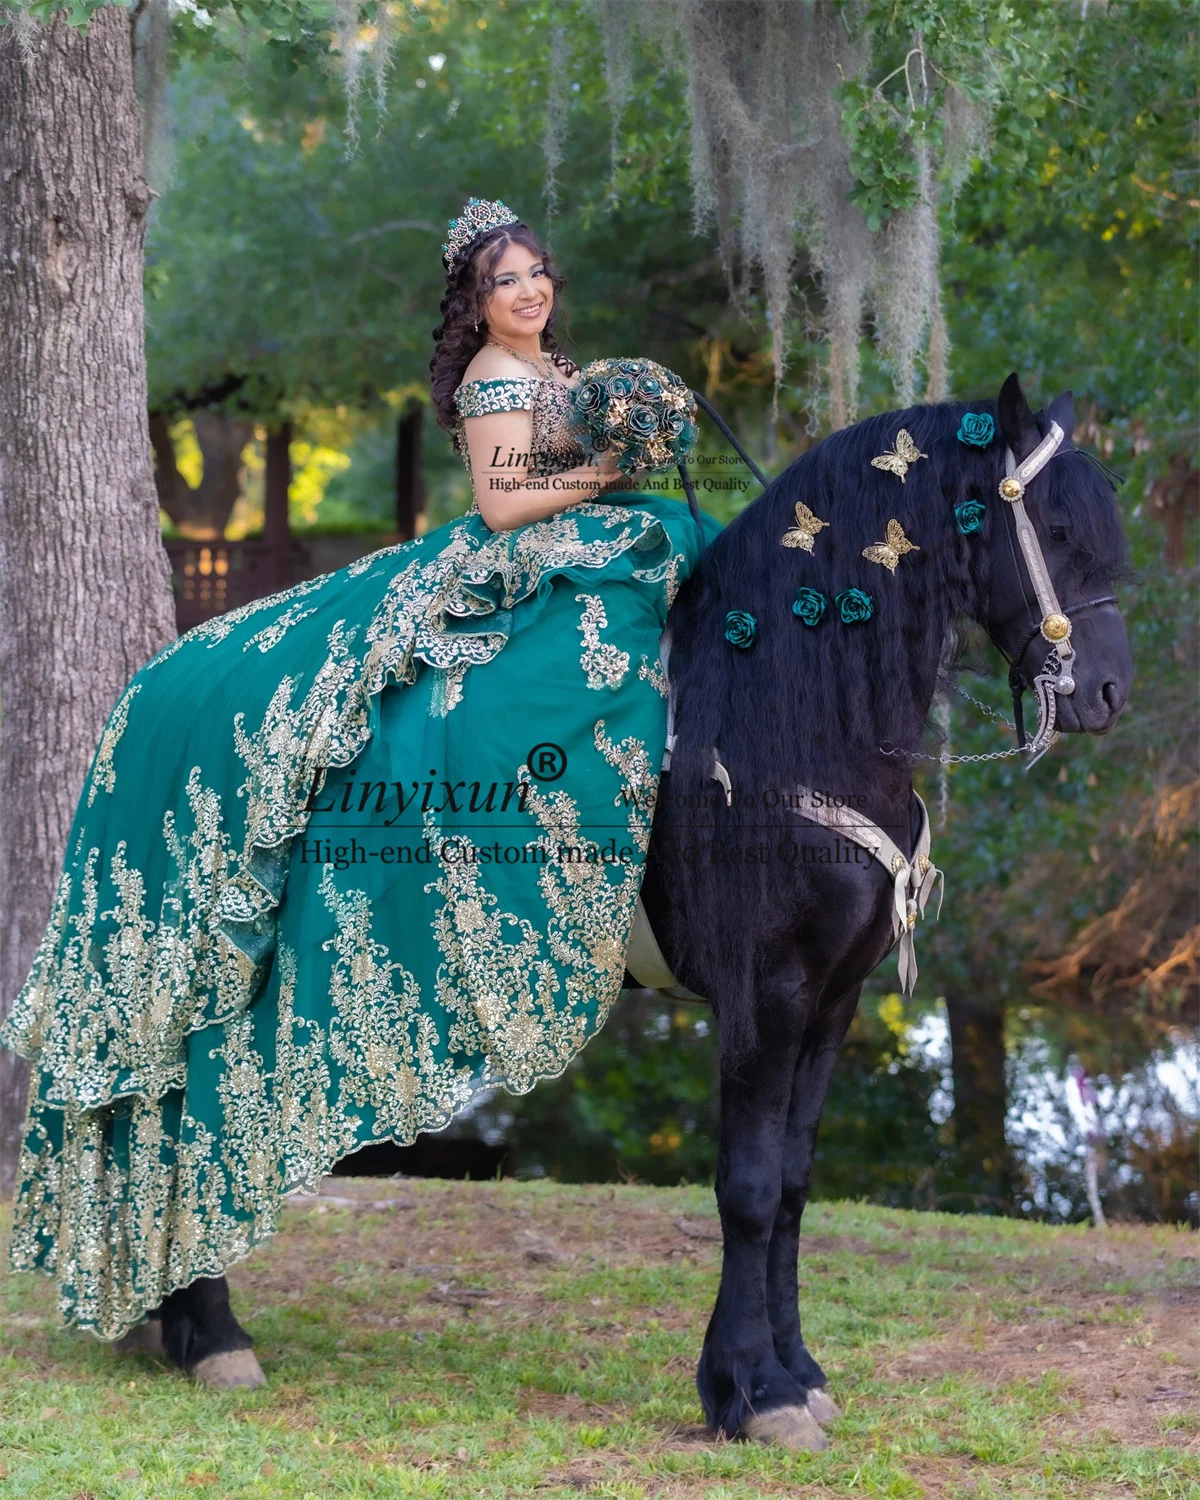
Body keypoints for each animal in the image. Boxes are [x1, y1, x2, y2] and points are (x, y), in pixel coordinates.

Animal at [143, 369, 1134, 1446]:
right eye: (1059, 527)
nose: (1109, 693)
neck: (779, 716)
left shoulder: (833, 1000)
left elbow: (793, 1186)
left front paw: (796, 1372)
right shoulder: (763, 997)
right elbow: (746, 1187)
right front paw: (756, 1392)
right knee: (191, 1134)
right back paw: (212, 1331)